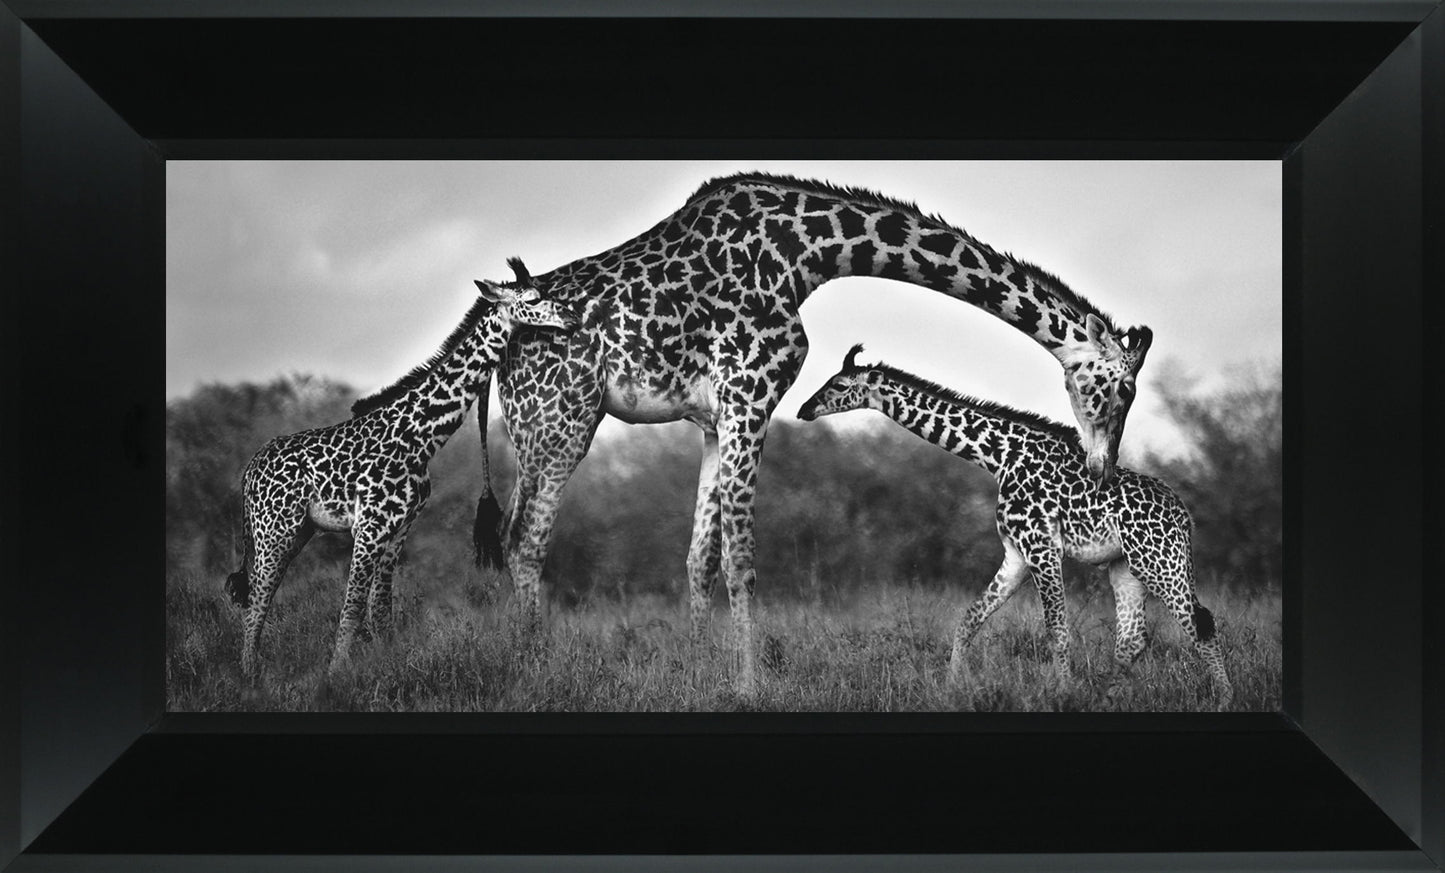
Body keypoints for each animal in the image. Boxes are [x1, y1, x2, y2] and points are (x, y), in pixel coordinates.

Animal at [224, 259, 578, 682]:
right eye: (534, 298)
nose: (573, 318)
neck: (419, 437)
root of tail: (249, 470)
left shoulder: (399, 528)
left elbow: (381, 610)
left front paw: (384, 669)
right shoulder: (369, 527)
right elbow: (353, 606)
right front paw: (336, 676)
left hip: (297, 531)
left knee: (259, 595)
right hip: (274, 529)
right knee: (257, 599)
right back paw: (250, 676)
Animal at [474, 173, 1153, 694]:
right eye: (1121, 389)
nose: (1100, 469)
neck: (809, 252)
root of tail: (500, 342)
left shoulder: (716, 417)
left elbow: (699, 556)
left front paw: (699, 672)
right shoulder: (751, 392)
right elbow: (742, 557)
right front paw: (750, 686)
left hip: (539, 427)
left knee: (512, 535)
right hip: (562, 420)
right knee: (526, 541)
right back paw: (531, 670)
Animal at [797, 345, 1232, 709]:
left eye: (838, 385)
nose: (803, 410)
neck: (999, 457)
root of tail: (1183, 515)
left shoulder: (1042, 547)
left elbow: (1056, 629)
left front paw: (1063, 693)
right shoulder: (1016, 554)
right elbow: (968, 619)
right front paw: (953, 687)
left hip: (1158, 561)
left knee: (1200, 623)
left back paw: (1225, 698)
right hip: (1124, 567)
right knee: (1133, 639)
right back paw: (1105, 699)